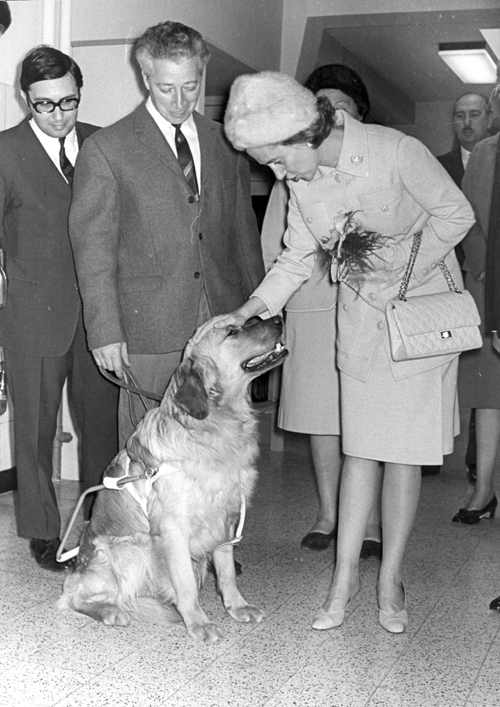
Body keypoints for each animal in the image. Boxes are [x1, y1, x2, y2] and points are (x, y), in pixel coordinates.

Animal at [58, 318, 288, 644]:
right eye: (232, 332)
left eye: (249, 321)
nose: (278, 318)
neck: (212, 428)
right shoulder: (173, 529)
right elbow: (186, 584)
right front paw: (199, 623)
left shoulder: (225, 520)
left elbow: (227, 573)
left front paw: (237, 607)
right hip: (132, 549)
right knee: (76, 596)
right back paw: (110, 612)